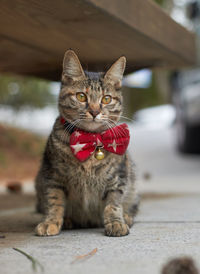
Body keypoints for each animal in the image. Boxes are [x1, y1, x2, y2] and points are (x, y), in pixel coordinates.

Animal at [35, 50, 138, 237]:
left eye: (106, 99)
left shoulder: (118, 178)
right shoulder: (52, 175)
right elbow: (54, 201)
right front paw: (51, 222)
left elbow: (113, 204)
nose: (95, 111)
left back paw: (126, 217)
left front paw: (116, 222)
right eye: (81, 96)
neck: (91, 140)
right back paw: (68, 221)